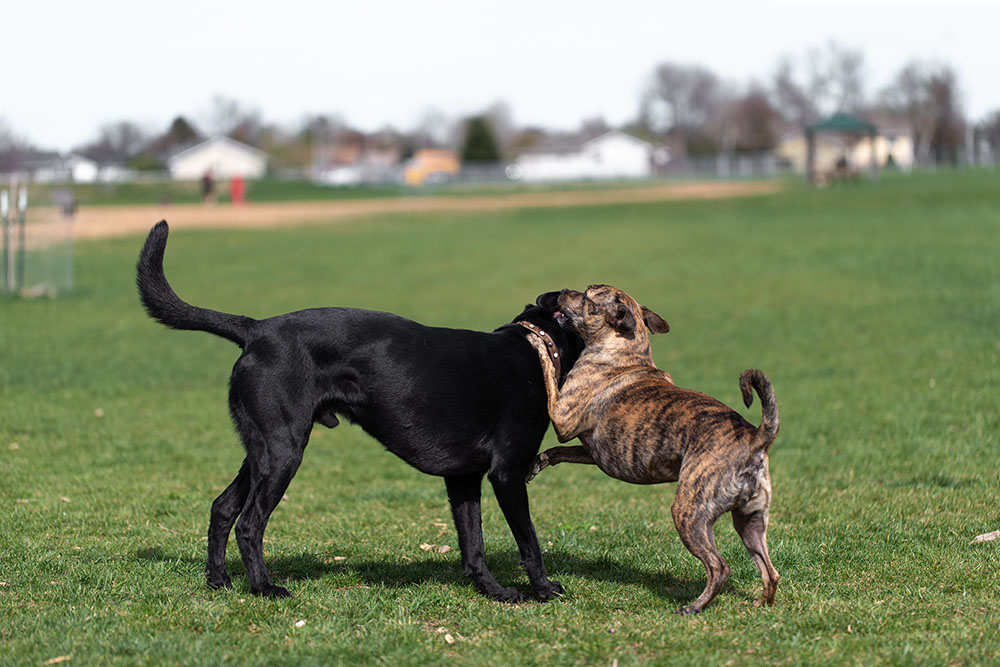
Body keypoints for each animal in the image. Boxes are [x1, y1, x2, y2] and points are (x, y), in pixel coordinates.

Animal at [137, 222, 584, 604]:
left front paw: (492, 591)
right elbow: (529, 542)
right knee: (249, 523)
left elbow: (473, 543)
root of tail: (256, 329)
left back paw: (219, 581)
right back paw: (264, 587)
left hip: (263, 448)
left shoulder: (463, 478)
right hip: (283, 452)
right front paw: (544, 589)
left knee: (222, 507)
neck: (535, 348)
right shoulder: (507, 474)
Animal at [524, 288, 780, 616]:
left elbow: (549, 373)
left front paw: (536, 339)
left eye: (587, 296)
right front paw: (538, 463)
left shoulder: (561, 416)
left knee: (720, 567)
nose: (565, 292)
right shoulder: (589, 451)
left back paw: (693, 607)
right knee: (769, 571)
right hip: (750, 521)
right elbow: (557, 451)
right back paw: (760, 604)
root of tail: (755, 438)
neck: (624, 352)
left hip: (689, 513)